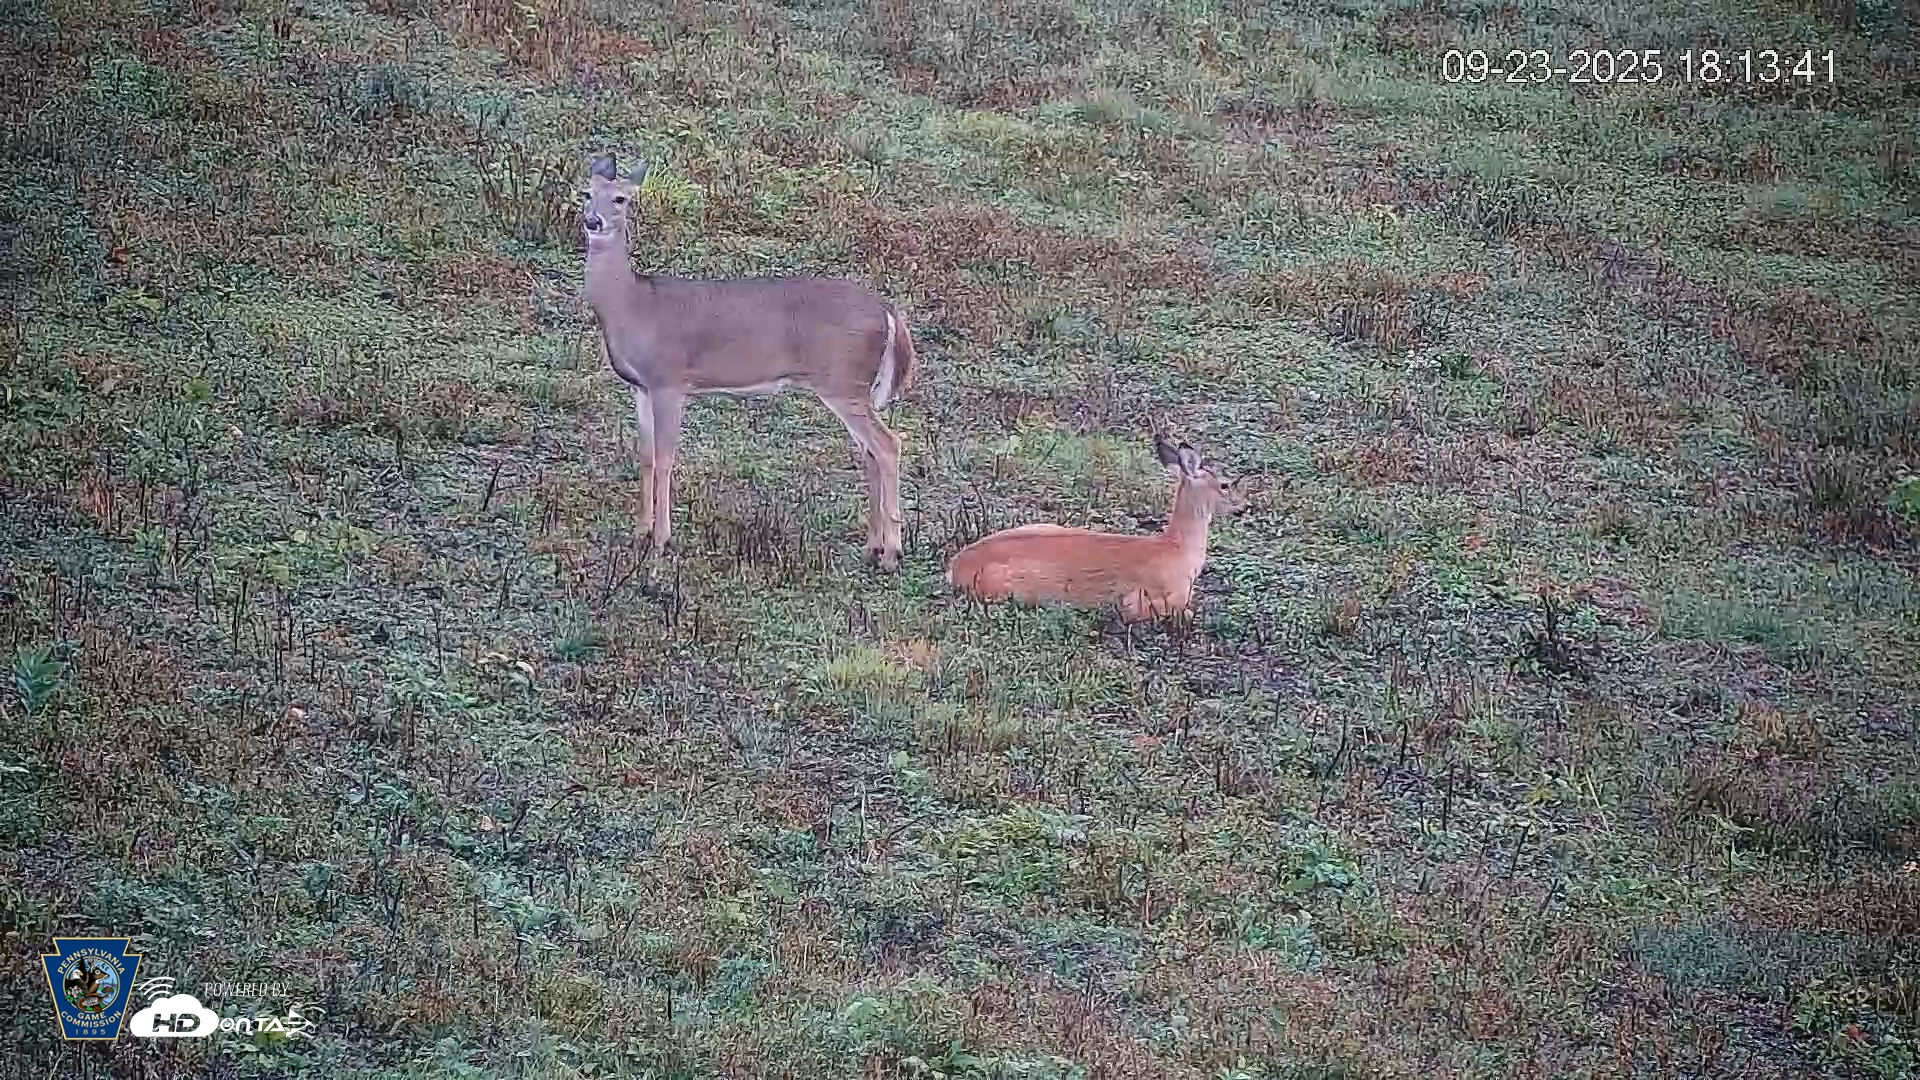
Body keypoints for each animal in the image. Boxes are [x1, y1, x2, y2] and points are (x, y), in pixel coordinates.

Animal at [579, 152, 919, 569]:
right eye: (586, 192)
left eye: (621, 199)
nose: (593, 221)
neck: (632, 305)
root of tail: (888, 310)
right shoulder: (640, 387)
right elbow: (645, 455)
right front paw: (640, 532)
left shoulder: (669, 381)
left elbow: (665, 458)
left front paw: (661, 540)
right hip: (851, 387)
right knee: (868, 451)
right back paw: (872, 547)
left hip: (842, 381)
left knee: (888, 444)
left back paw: (892, 553)